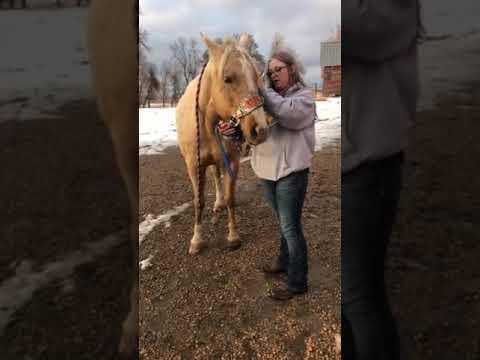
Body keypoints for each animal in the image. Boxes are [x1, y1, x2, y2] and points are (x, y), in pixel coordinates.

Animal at [176, 33, 270, 253]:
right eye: (227, 79)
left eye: (256, 77)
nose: (260, 130)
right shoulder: (194, 166)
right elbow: (198, 201)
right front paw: (196, 240)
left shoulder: (232, 161)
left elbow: (230, 198)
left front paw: (233, 236)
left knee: (218, 177)